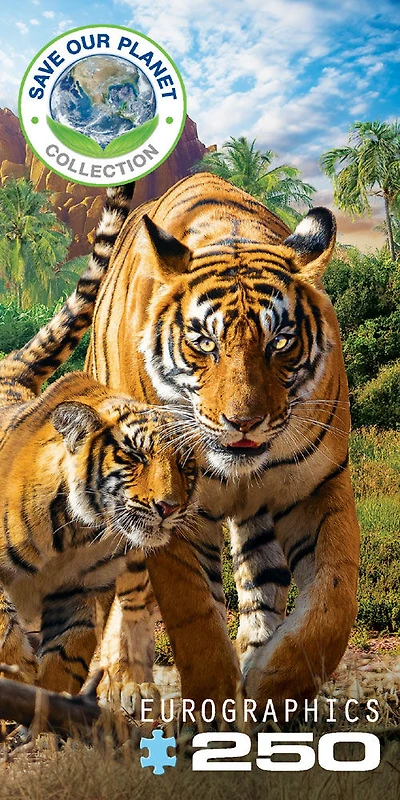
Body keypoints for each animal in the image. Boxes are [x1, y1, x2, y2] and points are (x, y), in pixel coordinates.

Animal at [0, 183, 197, 708]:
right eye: (134, 456)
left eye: (186, 466)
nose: (170, 507)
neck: (78, 534)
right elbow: (6, 633)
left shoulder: (80, 595)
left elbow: (63, 662)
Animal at [87, 171, 360, 719]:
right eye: (204, 343)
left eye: (280, 342)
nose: (244, 422)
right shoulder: (168, 511)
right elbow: (197, 623)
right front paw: (215, 715)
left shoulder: (320, 487)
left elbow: (331, 606)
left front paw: (272, 688)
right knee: (124, 590)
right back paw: (124, 683)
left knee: (261, 582)